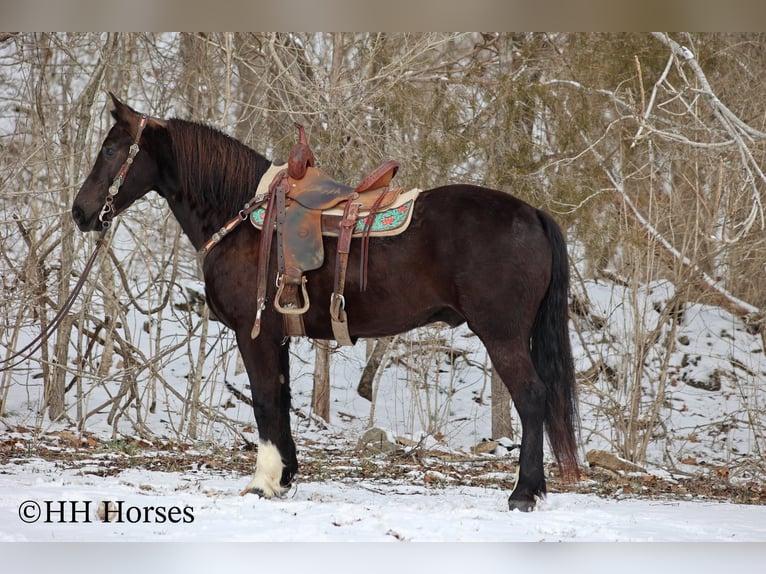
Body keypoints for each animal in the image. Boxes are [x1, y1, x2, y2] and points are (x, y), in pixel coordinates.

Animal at [72, 94, 579, 512]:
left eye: (111, 150)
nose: (80, 212)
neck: (240, 217)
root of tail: (532, 213)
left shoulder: (254, 333)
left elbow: (263, 401)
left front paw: (262, 482)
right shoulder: (277, 336)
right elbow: (280, 399)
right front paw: (285, 477)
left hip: (502, 335)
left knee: (532, 398)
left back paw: (524, 493)